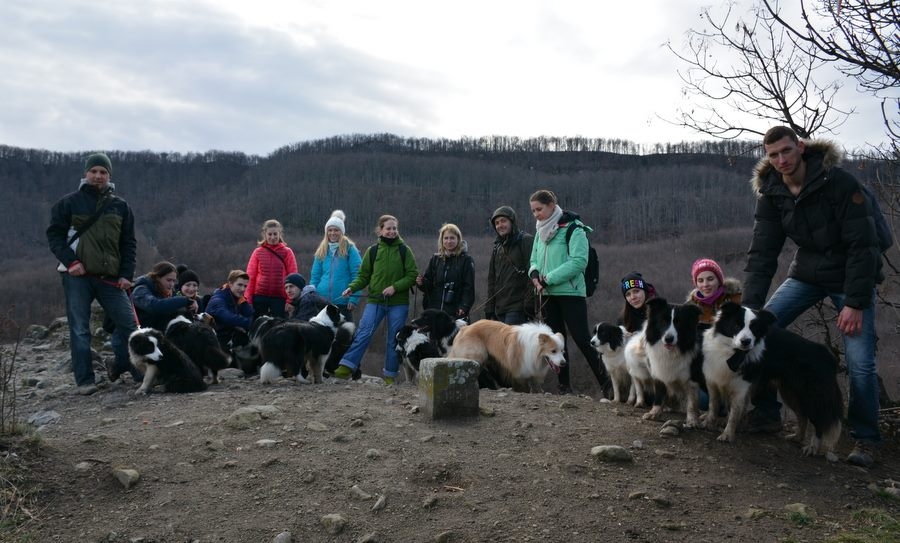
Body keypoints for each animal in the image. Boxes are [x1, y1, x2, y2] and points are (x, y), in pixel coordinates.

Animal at [642, 298, 705, 427]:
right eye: (662, 321)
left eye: (679, 323)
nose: (669, 339)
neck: (672, 351)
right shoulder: (659, 372)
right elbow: (659, 395)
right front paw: (654, 413)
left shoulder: (693, 378)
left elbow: (692, 401)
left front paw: (692, 420)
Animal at [703, 302, 843, 455]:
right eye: (737, 325)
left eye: (754, 329)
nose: (746, 342)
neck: (732, 352)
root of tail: (827, 355)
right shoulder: (714, 378)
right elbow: (713, 404)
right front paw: (708, 422)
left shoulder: (742, 386)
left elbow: (734, 413)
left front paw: (727, 435)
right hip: (790, 392)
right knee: (802, 416)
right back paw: (797, 437)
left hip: (811, 395)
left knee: (818, 421)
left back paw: (812, 447)